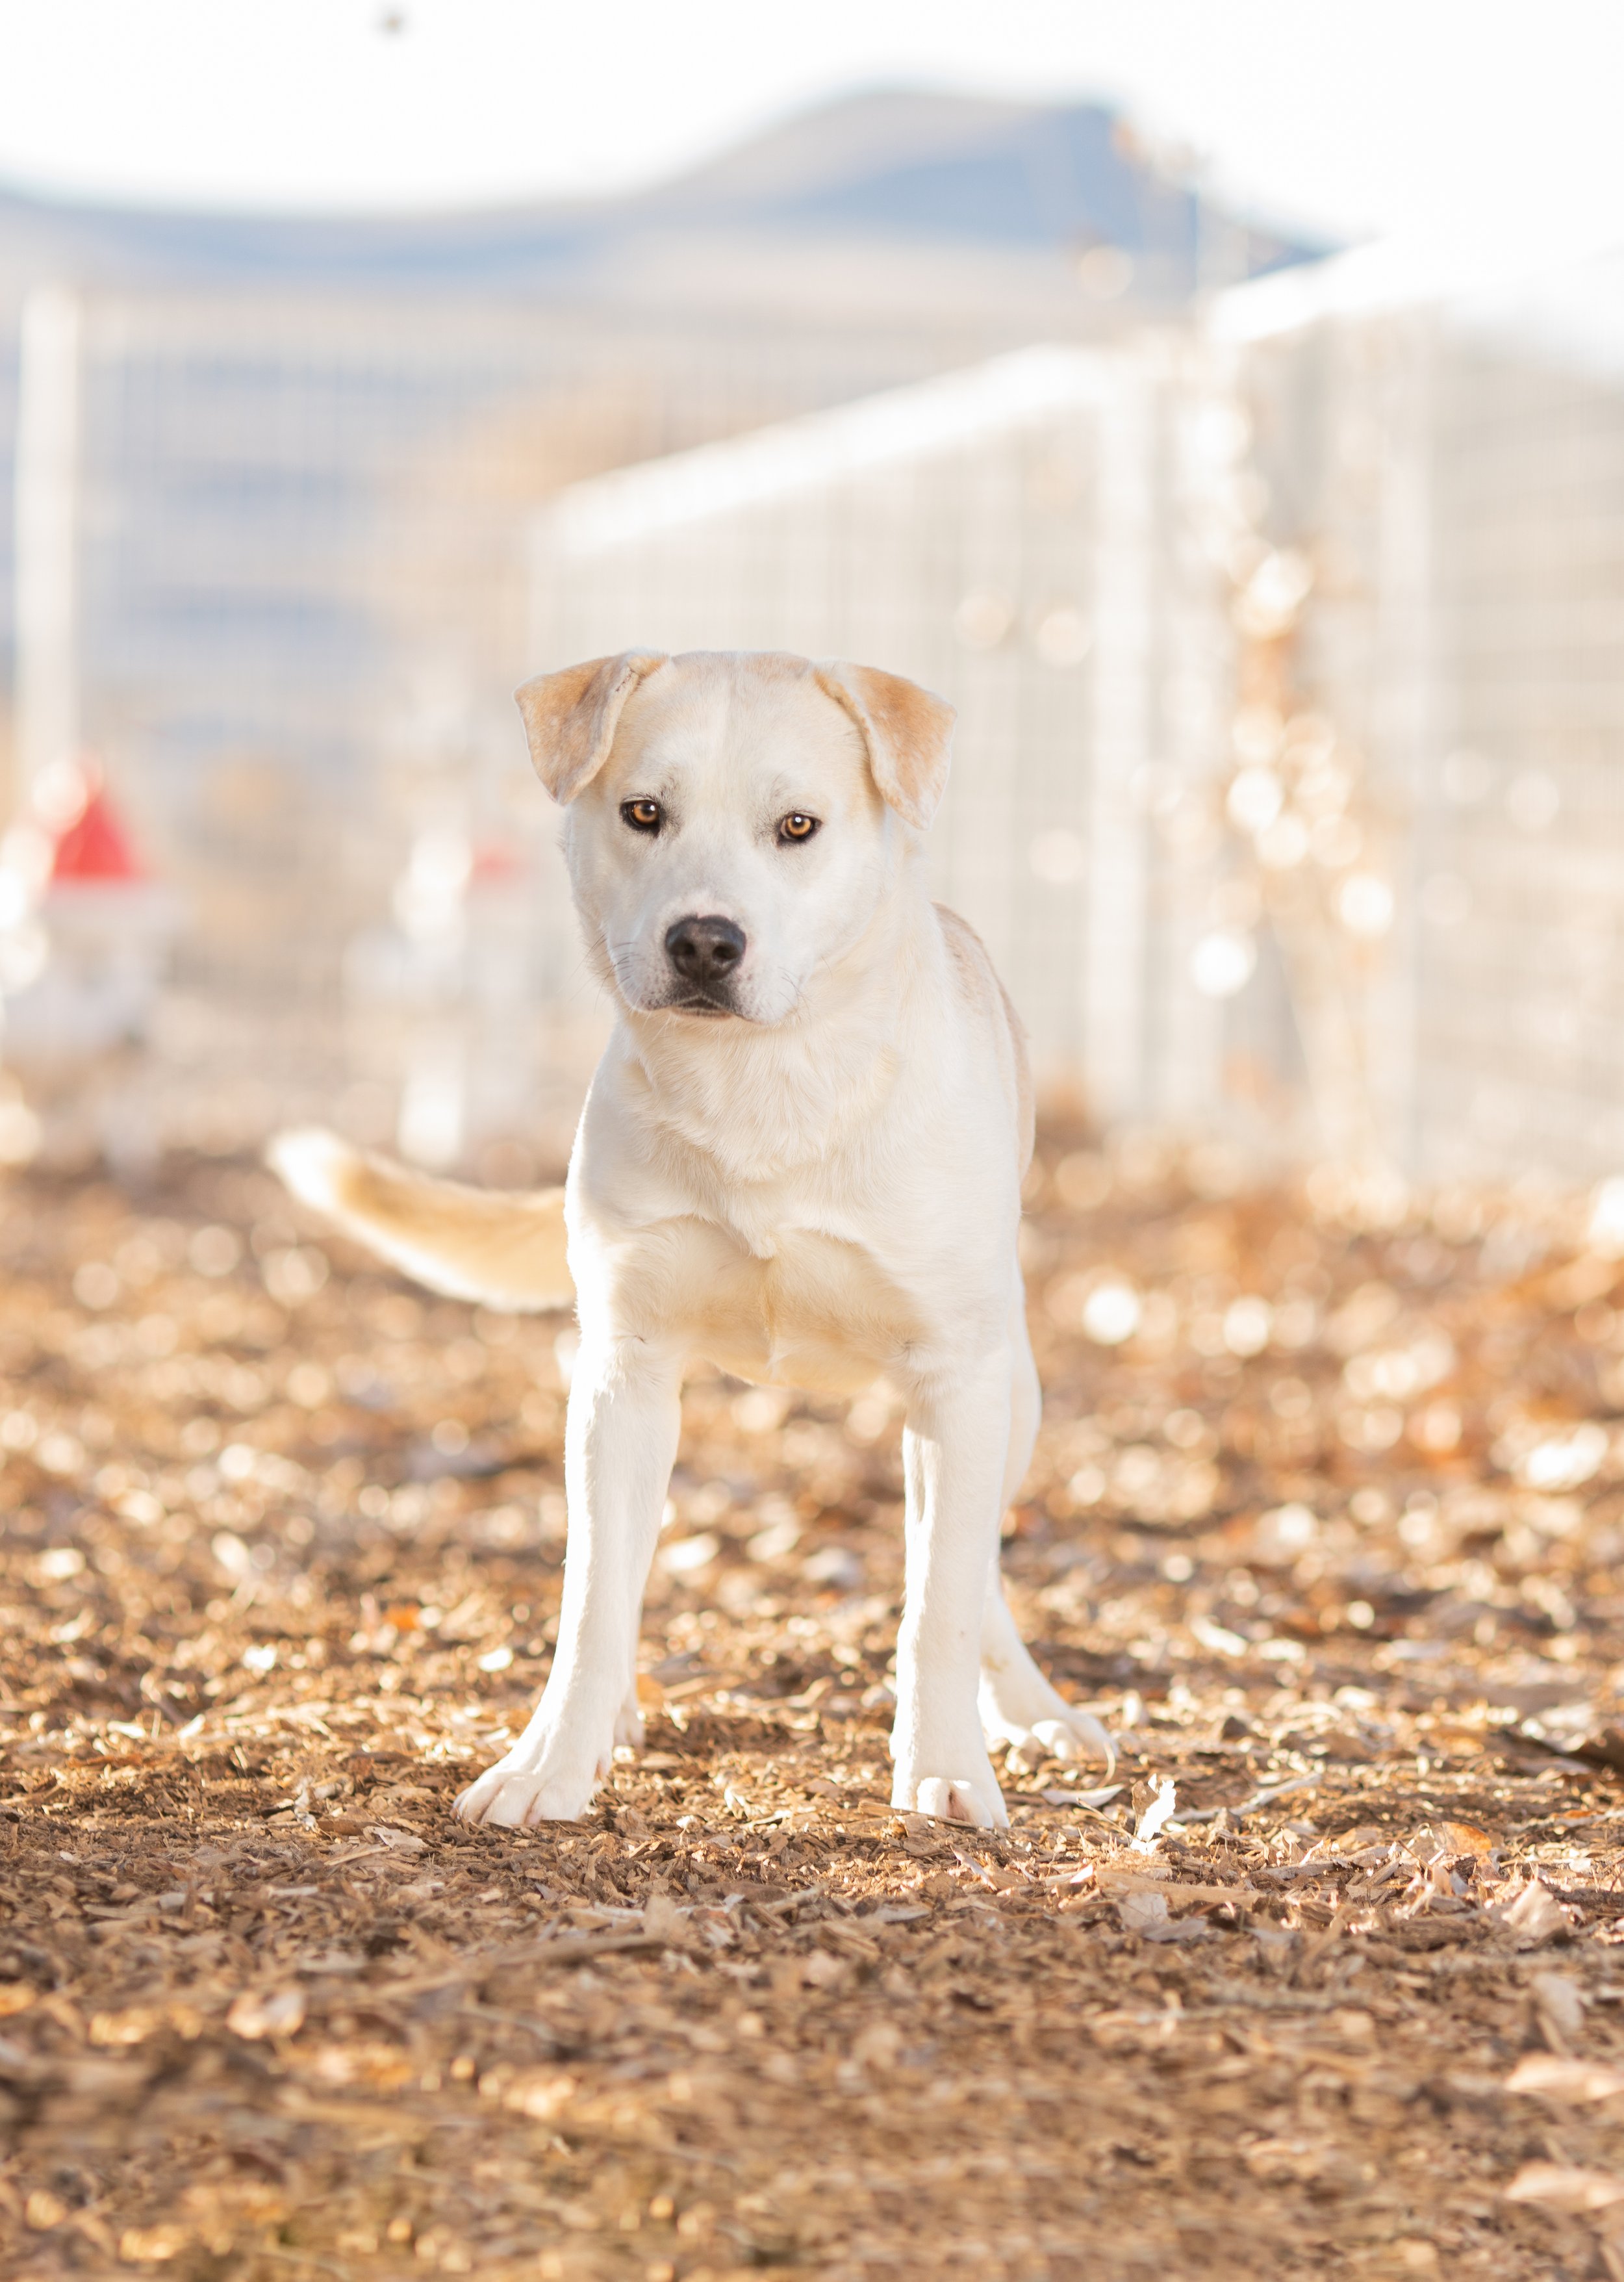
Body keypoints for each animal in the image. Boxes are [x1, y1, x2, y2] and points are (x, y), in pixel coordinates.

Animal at [275, 652, 1117, 1825]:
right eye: (644, 812)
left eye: (798, 825)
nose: (706, 941)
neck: (764, 1089)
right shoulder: (623, 1371)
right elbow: (591, 1595)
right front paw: (552, 1762)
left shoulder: (959, 1378)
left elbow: (940, 1603)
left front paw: (946, 1767)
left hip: (1013, 1397)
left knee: (969, 1568)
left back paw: (1033, 1711)